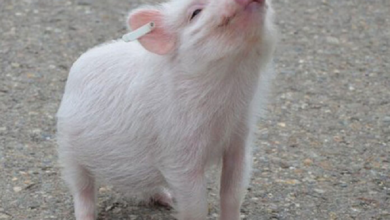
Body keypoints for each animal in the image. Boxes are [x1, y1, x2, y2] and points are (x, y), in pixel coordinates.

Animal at [57, 0, 278, 219]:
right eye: (195, 12)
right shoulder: (178, 152)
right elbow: (196, 205)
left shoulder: (240, 138)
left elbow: (233, 193)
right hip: (68, 150)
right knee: (82, 189)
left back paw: (167, 199)